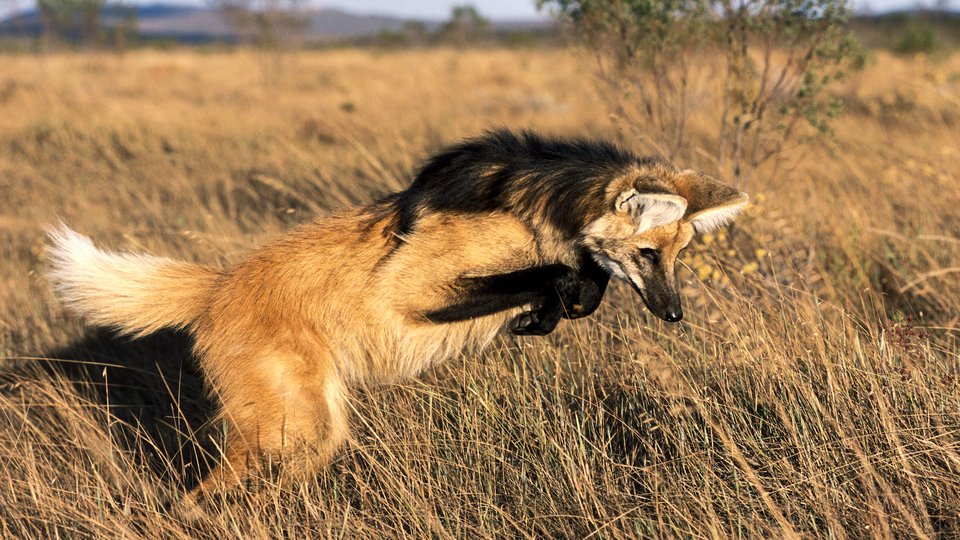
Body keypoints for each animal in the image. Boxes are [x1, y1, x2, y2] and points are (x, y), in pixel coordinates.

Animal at [46, 129, 747, 498]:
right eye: (650, 254)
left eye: (679, 257)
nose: (675, 314)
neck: (536, 207)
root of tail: (220, 284)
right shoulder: (412, 291)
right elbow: (552, 274)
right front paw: (547, 306)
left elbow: (581, 280)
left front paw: (553, 311)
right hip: (292, 425)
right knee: (205, 496)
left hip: (313, 432)